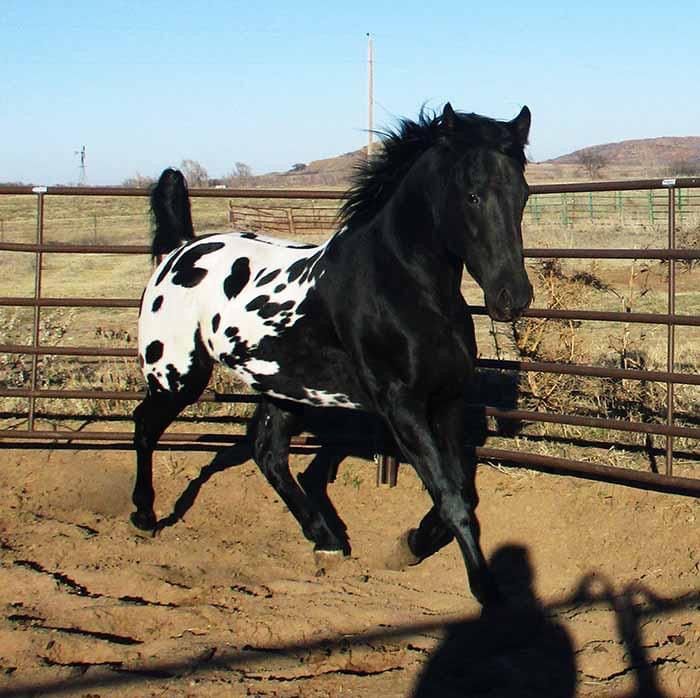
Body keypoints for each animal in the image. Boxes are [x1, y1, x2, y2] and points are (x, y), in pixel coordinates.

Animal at [134, 104, 532, 604]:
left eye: (523, 195)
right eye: (473, 195)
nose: (512, 298)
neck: (402, 287)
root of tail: (178, 251)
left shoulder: (447, 400)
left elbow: (458, 492)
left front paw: (410, 545)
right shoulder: (401, 406)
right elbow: (453, 498)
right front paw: (486, 588)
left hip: (280, 387)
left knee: (267, 453)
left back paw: (326, 539)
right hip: (177, 376)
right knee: (145, 425)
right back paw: (144, 517)